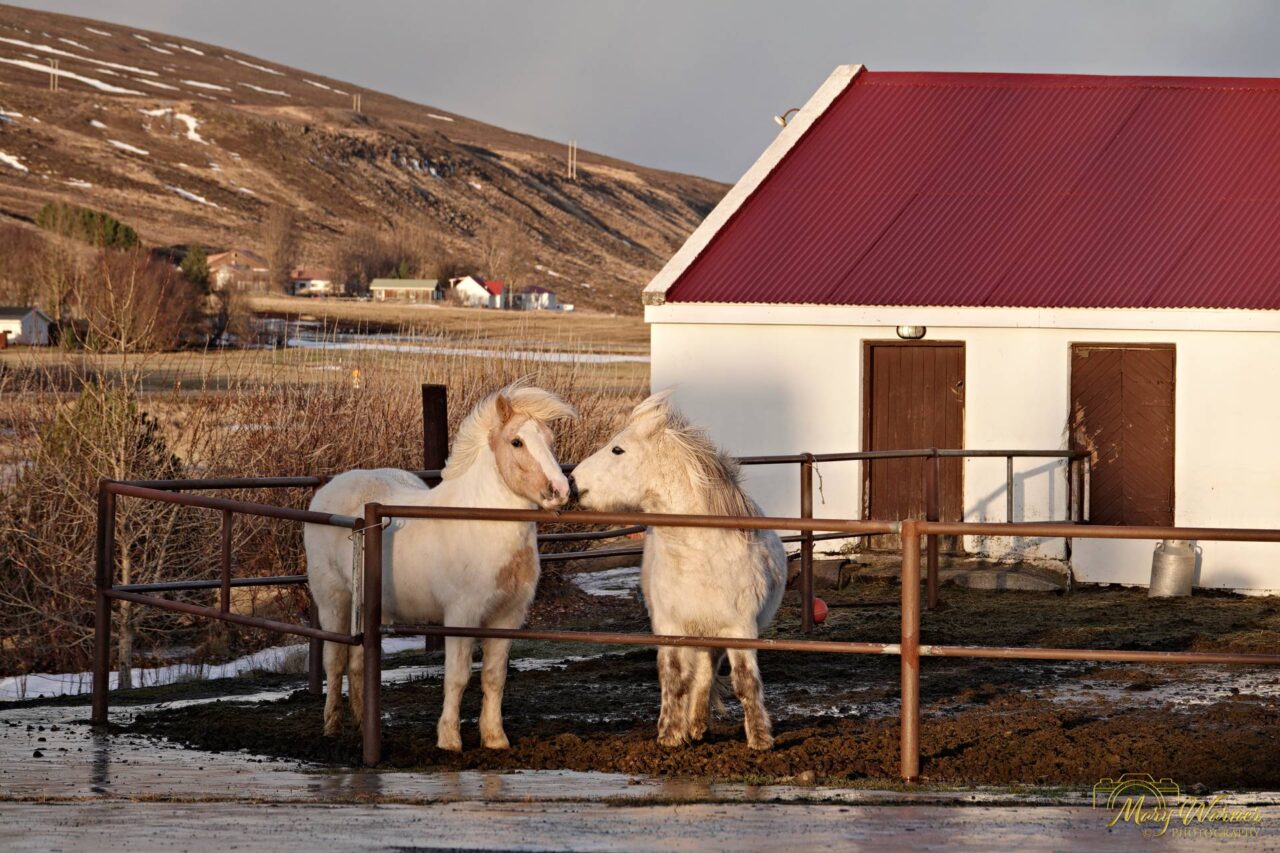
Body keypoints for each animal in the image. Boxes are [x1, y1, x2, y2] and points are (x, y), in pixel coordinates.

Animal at [304, 384, 576, 750]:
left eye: (550, 439)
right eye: (517, 441)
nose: (559, 491)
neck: (479, 523)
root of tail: (327, 491)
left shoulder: (507, 617)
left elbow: (494, 677)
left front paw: (495, 739)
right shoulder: (461, 617)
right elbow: (457, 677)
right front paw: (449, 739)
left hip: (370, 607)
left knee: (358, 663)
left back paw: (363, 726)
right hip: (333, 600)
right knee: (334, 661)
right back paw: (332, 726)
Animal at [570, 390, 786, 750]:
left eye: (618, 449)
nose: (572, 482)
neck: (700, 556)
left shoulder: (740, 629)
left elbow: (744, 682)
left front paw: (759, 738)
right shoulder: (670, 628)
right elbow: (673, 678)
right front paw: (670, 734)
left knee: (706, 673)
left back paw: (699, 725)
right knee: (697, 674)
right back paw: (693, 726)